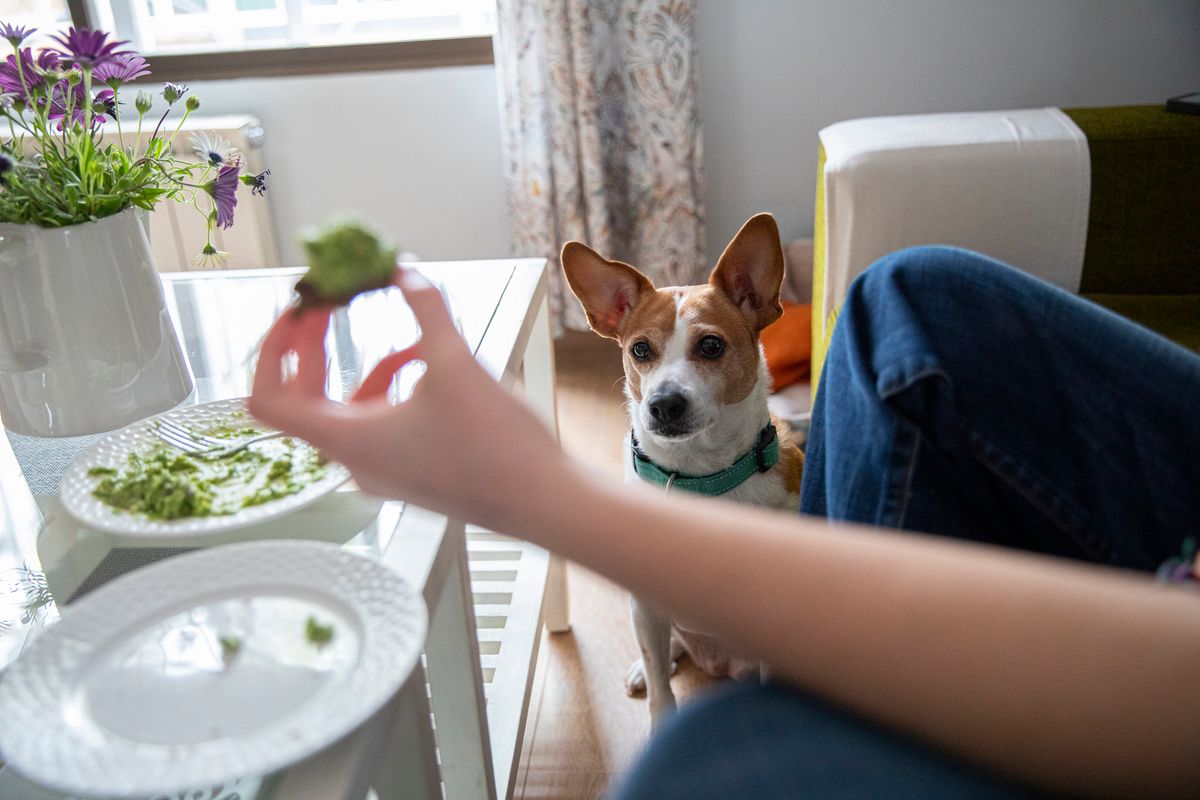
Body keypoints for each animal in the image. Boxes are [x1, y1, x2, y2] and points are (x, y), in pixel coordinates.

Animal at [561, 211, 806, 724]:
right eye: (640, 350)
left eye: (710, 345)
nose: (663, 405)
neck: (700, 477)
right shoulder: (648, 607)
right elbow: (661, 693)